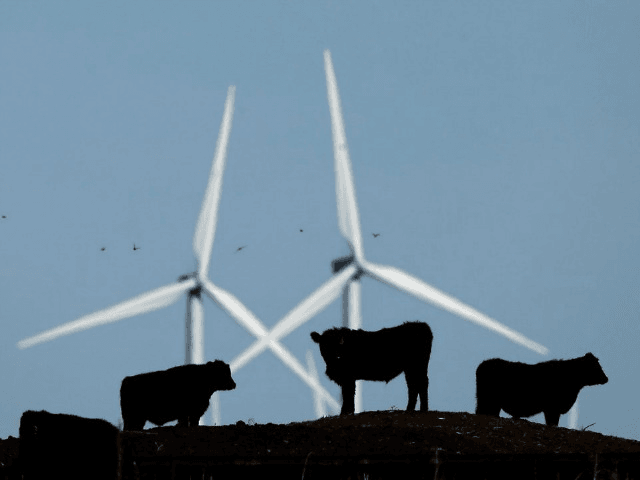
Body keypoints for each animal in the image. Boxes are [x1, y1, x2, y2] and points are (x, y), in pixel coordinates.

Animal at [475, 353, 608, 426]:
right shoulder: (552, 409)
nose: (606, 378)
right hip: (488, 400)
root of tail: (484, 364)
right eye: (596, 367)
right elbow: (552, 423)